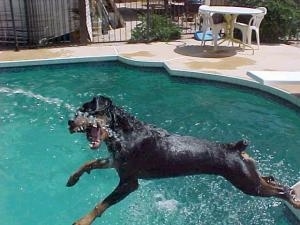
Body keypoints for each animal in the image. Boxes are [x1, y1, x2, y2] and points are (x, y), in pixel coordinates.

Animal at [67, 95, 298, 225]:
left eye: (87, 110)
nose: (69, 121)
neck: (123, 133)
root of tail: (234, 147)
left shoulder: (129, 182)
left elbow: (100, 204)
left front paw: (81, 222)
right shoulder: (115, 162)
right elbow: (90, 163)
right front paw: (72, 178)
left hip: (246, 183)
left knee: (279, 190)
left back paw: (293, 198)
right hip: (249, 176)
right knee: (269, 179)